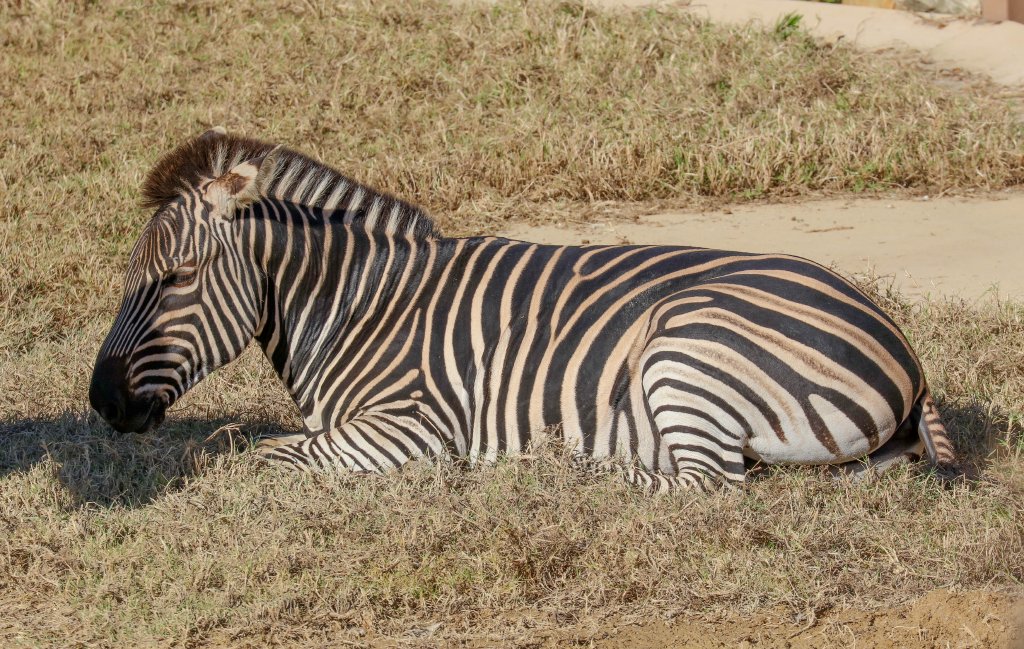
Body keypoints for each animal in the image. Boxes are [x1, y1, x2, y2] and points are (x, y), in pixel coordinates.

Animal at [89, 129, 958, 493]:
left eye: (175, 279)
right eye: (132, 278)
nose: (100, 403)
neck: (353, 309)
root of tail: (907, 351)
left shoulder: (414, 426)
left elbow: (258, 456)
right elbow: (242, 440)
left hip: (684, 347)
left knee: (707, 482)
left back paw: (562, 465)